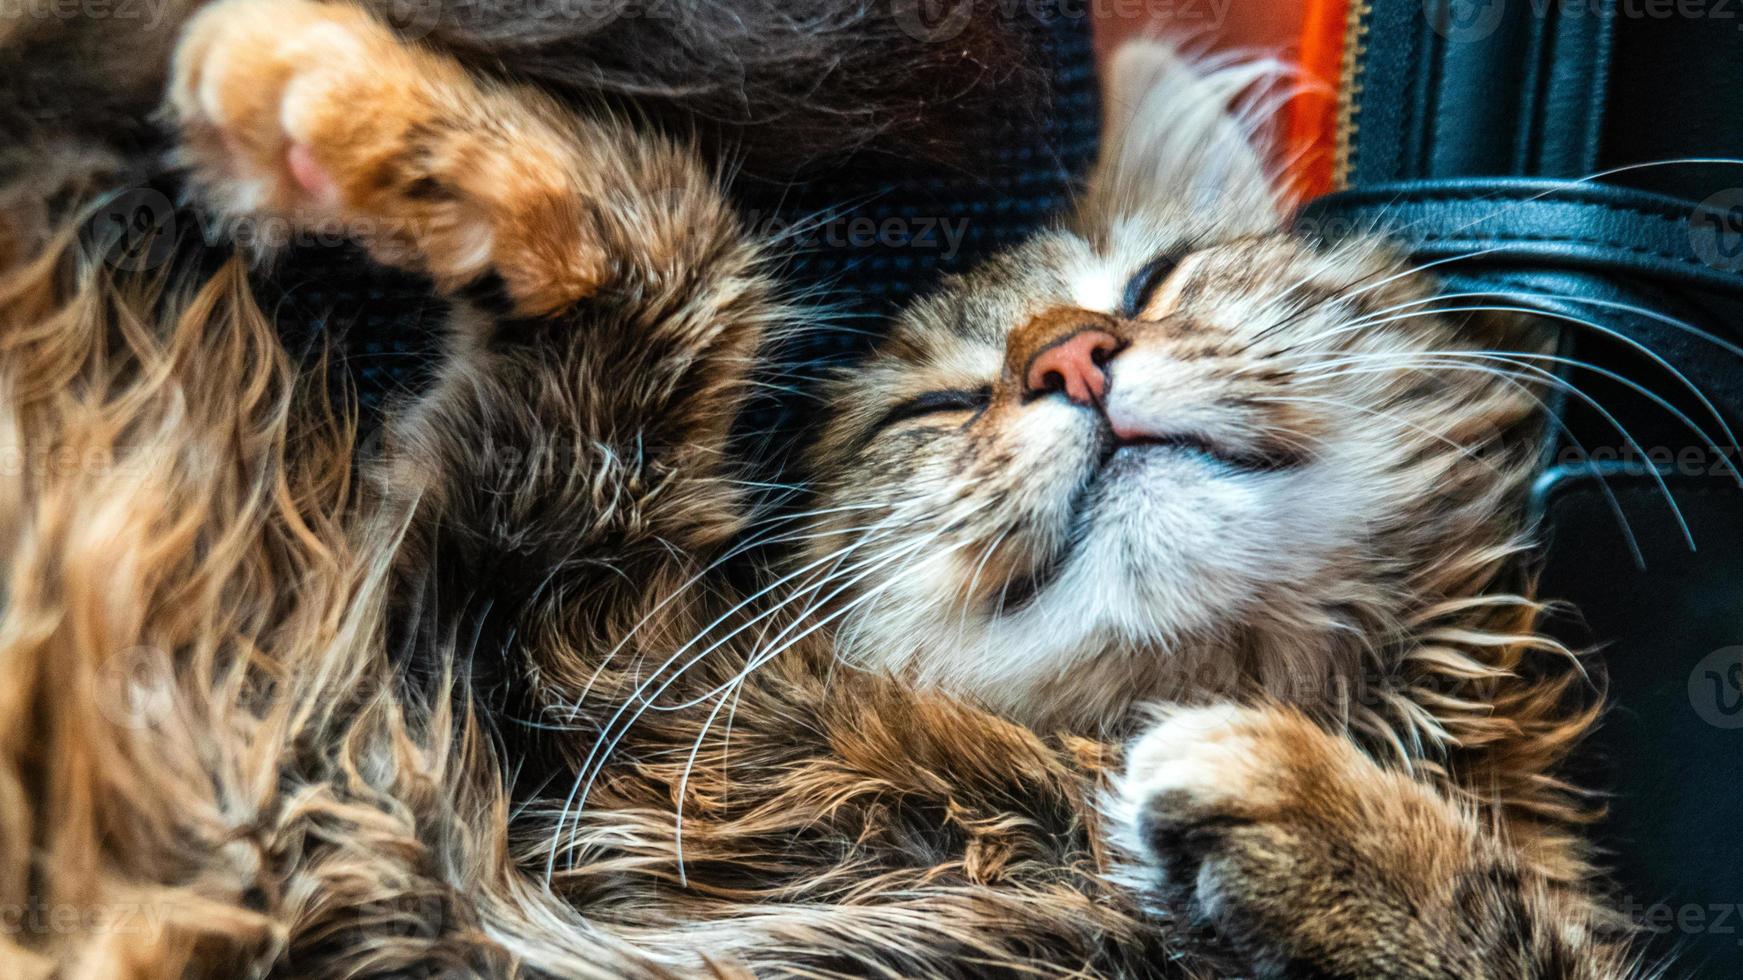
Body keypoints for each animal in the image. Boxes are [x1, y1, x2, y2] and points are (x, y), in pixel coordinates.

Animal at [0, 0, 1631, 969]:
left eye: (1153, 281)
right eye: (933, 404)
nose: (1073, 358)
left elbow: (1517, 920)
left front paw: (1298, 801)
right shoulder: (525, 659)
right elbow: (668, 232)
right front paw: (298, 79)